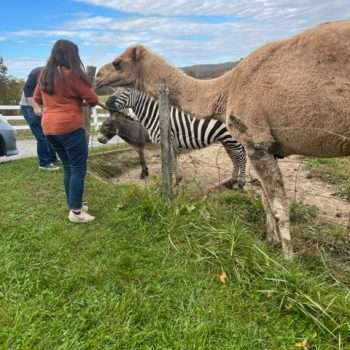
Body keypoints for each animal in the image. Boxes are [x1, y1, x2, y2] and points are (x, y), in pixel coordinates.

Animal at [105, 86, 247, 189]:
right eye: (114, 91)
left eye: (125, 92)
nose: (107, 103)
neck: (155, 116)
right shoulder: (172, 142)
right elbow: (173, 160)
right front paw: (177, 180)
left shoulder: (165, 141)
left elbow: (169, 162)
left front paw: (170, 181)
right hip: (226, 140)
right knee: (235, 157)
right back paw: (232, 180)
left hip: (231, 138)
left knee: (241, 157)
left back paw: (241, 183)